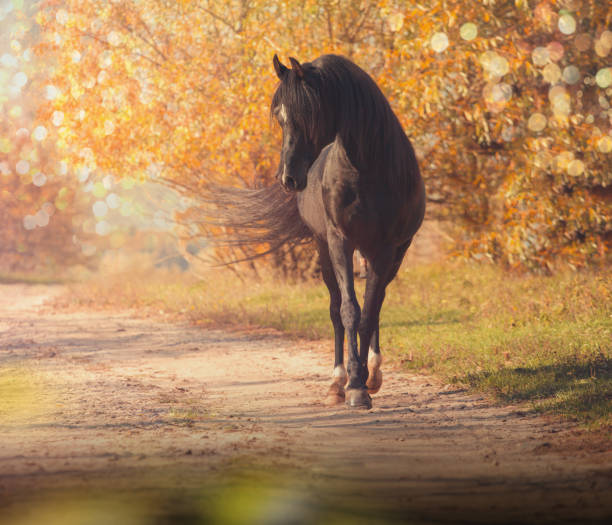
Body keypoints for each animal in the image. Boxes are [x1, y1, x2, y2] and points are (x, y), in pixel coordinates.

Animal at [208, 53, 424, 408]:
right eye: (279, 117)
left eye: (308, 112)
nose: (288, 178)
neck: (367, 171)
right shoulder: (339, 241)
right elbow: (349, 311)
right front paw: (353, 385)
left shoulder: (387, 249)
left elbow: (369, 313)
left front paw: (364, 381)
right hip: (324, 251)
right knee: (336, 309)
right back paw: (337, 382)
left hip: (389, 255)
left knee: (376, 304)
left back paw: (373, 373)